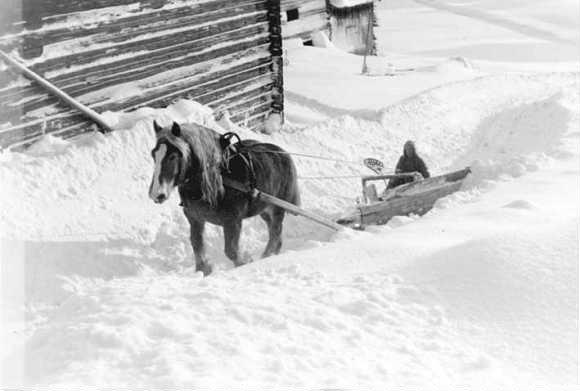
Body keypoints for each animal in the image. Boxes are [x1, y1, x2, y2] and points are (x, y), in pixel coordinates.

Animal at [147, 121, 302, 278]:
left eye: (172, 156)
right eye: (154, 154)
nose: (156, 194)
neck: (219, 177)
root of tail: (283, 153)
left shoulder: (233, 221)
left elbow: (231, 250)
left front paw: (246, 262)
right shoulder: (195, 218)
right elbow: (197, 244)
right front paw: (204, 270)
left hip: (278, 208)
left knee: (275, 231)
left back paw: (266, 256)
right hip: (264, 208)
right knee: (273, 231)